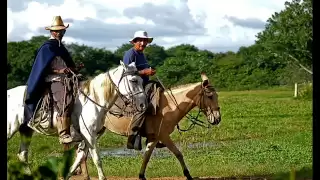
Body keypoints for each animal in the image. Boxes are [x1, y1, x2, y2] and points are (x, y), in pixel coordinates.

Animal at [6, 60, 148, 180]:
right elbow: (96, 159)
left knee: (22, 155)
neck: (93, 101)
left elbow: (80, 158)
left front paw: (66, 175)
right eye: (134, 80)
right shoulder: (89, 135)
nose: (143, 105)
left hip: (26, 130)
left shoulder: (88, 136)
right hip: (10, 129)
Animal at [76, 73, 221, 180]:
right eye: (209, 96)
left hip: (97, 131)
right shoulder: (164, 136)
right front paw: (188, 175)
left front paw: (141, 176)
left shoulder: (154, 138)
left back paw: (84, 175)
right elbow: (178, 153)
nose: (217, 118)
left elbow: (146, 157)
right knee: (83, 150)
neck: (169, 107)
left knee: (82, 151)